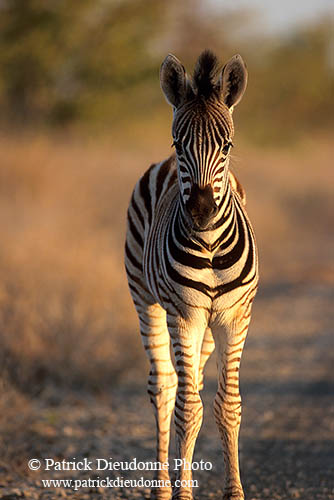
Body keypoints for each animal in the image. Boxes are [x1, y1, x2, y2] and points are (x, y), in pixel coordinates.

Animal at [124, 49, 258, 500]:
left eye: (228, 145)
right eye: (179, 143)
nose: (200, 212)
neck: (211, 246)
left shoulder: (234, 317)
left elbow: (226, 406)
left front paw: (234, 492)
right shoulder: (184, 315)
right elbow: (187, 407)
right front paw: (182, 493)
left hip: (207, 325)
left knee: (195, 381)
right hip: (146, 298)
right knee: (166, 386)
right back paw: (164, 487)